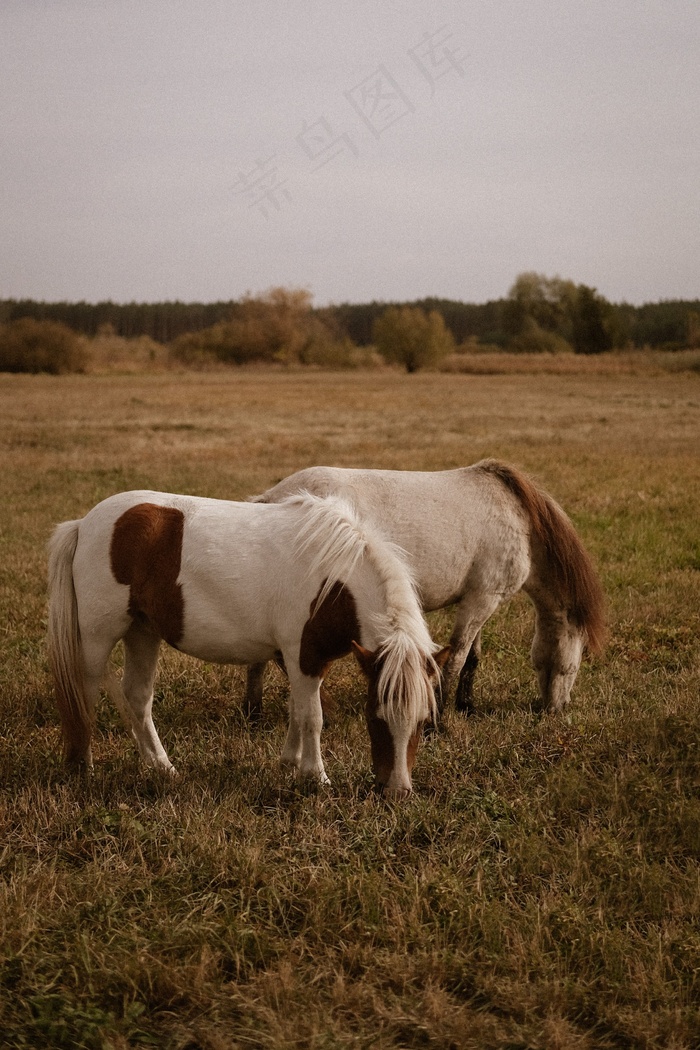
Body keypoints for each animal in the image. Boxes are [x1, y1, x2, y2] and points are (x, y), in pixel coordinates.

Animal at [48, 491, 449, 793]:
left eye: (423, 720)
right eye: (374, 716)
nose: (396, 790)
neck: (333, 578)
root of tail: (84, 525)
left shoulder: (304, 660)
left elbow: (297, 711)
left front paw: (289, 764)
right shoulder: (303, 655)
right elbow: (313, 717)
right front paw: (316, 777)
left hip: (142, 631)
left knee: (138, 697)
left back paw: (161, 766)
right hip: (100, 636)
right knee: (85, 693)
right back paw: (83, 766)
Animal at [248, 459, 604, 722]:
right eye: (575, 663)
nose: (555, 710)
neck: (521, 520)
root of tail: (270, 499)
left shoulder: (477, 599)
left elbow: (472, 657)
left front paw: (466, 706)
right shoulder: (483, 600)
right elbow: (457, 656)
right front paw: (439, 718)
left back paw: (254, 714)